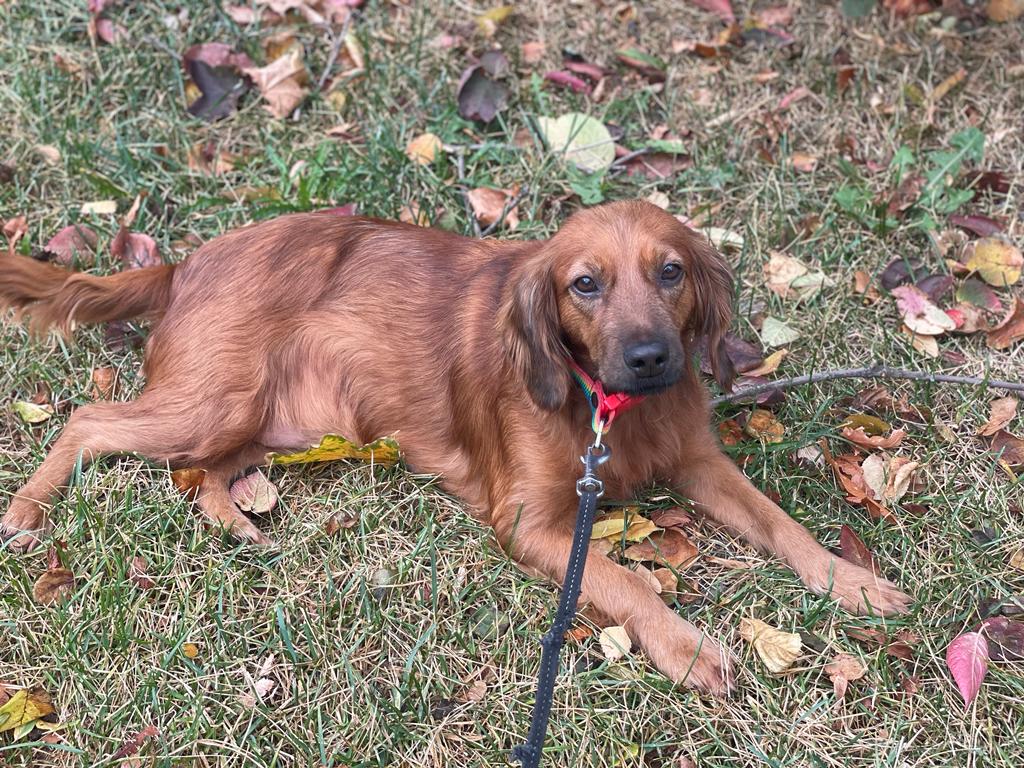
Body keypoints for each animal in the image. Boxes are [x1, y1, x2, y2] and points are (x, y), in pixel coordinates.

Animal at [2, 201, 913, 696]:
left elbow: (780, 522)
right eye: (585, 284)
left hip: (265, 420)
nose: (654, 359)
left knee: (198, 474)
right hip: (216, 400)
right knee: (90, 421)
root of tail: (185, 265)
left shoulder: (699, 460)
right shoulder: (531, 525)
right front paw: (688, 650)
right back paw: (25, 510)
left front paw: (852, 581)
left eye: (672, 273)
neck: (607, 407)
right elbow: (624, 581)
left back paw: (237, 524)